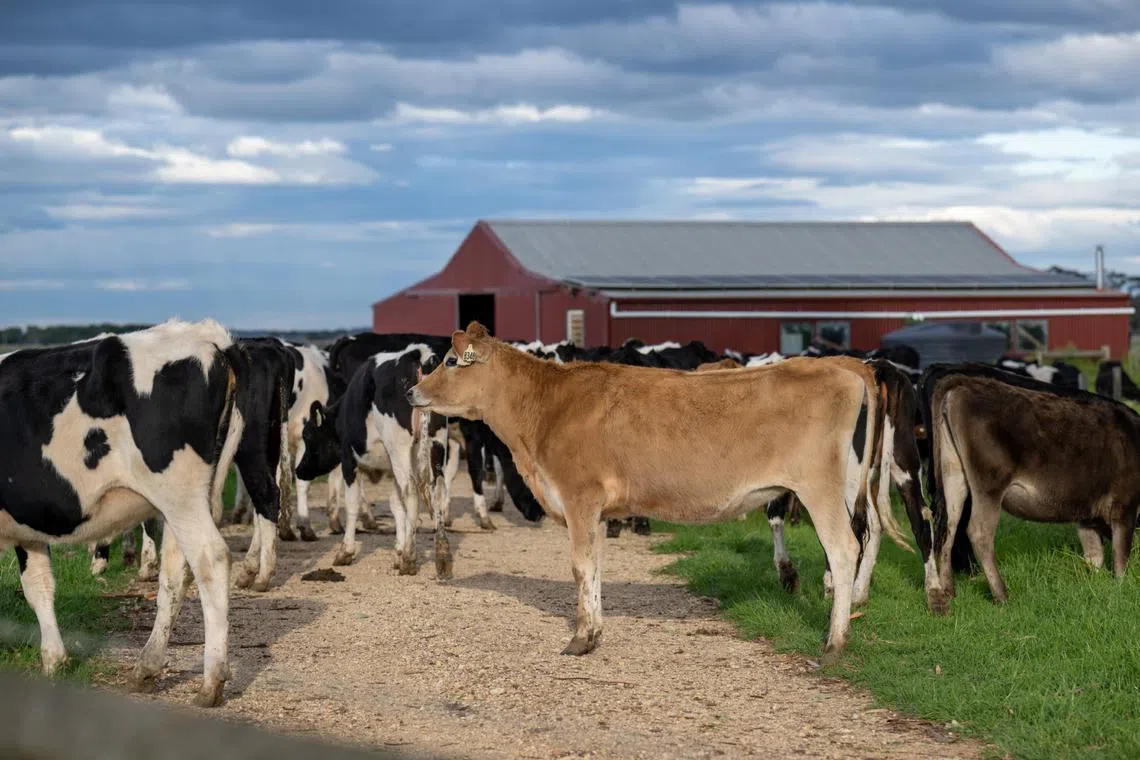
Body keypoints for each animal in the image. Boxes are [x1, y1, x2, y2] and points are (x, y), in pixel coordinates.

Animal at [0, 319, 241, 707]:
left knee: (211, 559)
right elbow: (39, 586)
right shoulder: (28, 526)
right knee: (175, 572)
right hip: (184, 501)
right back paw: (147, 667)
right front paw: (54, 661)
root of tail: (205, 335)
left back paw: (211, 682)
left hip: (179, 493)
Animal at [296, 344, 460, 577]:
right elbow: (396, 505)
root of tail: (418, 355)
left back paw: (410, 559)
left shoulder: (349, 460)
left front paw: (346, 552)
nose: (299, 470)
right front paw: (398, 551)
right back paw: (442, 557)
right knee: (436, 491)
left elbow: (353, 504)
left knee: (411, 493)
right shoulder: (391, 468)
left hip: (400, 447)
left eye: (309, 436)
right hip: (436, 444)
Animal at [409, 322, 895, 663]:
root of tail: (843, 364)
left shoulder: (580, 497)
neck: (547, 408)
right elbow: (595, 569)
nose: (411, 390)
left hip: (820, 489)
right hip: (850, 487)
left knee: (843, 550)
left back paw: (833, 644)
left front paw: (579, 639)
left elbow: (580, 567)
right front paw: (595, 633)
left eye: (450, 361)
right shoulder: (597, 511)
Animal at [919, 362, 1140, 613]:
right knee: (979, 532)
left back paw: (949, 590)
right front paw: (1121, 587)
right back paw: (1001, 594)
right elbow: (1121, 554)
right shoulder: (1125, 504)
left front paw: (1097, 585)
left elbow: (1094, 555)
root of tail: (962, 383)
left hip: (954, 474)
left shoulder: (1085, 513)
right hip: (989, 485)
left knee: (950, 526)